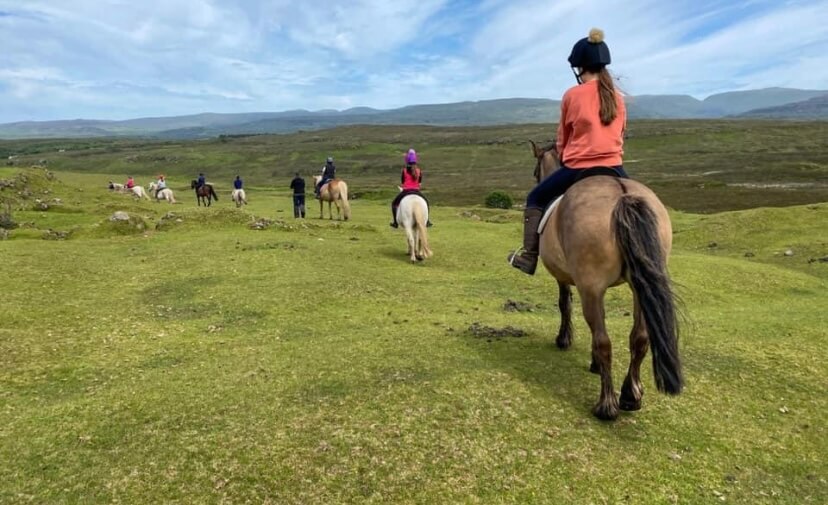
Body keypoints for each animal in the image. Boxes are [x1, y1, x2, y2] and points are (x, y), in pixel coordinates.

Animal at [528, 140, 684, 420]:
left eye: (536, 170)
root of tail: (622, 195)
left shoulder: (570, 279)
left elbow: (565, 304)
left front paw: (564, 340)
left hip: (591, 287)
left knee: (604, 341)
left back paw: (606, 405)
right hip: (640, 288)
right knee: (639, 338)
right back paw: (630, 395)